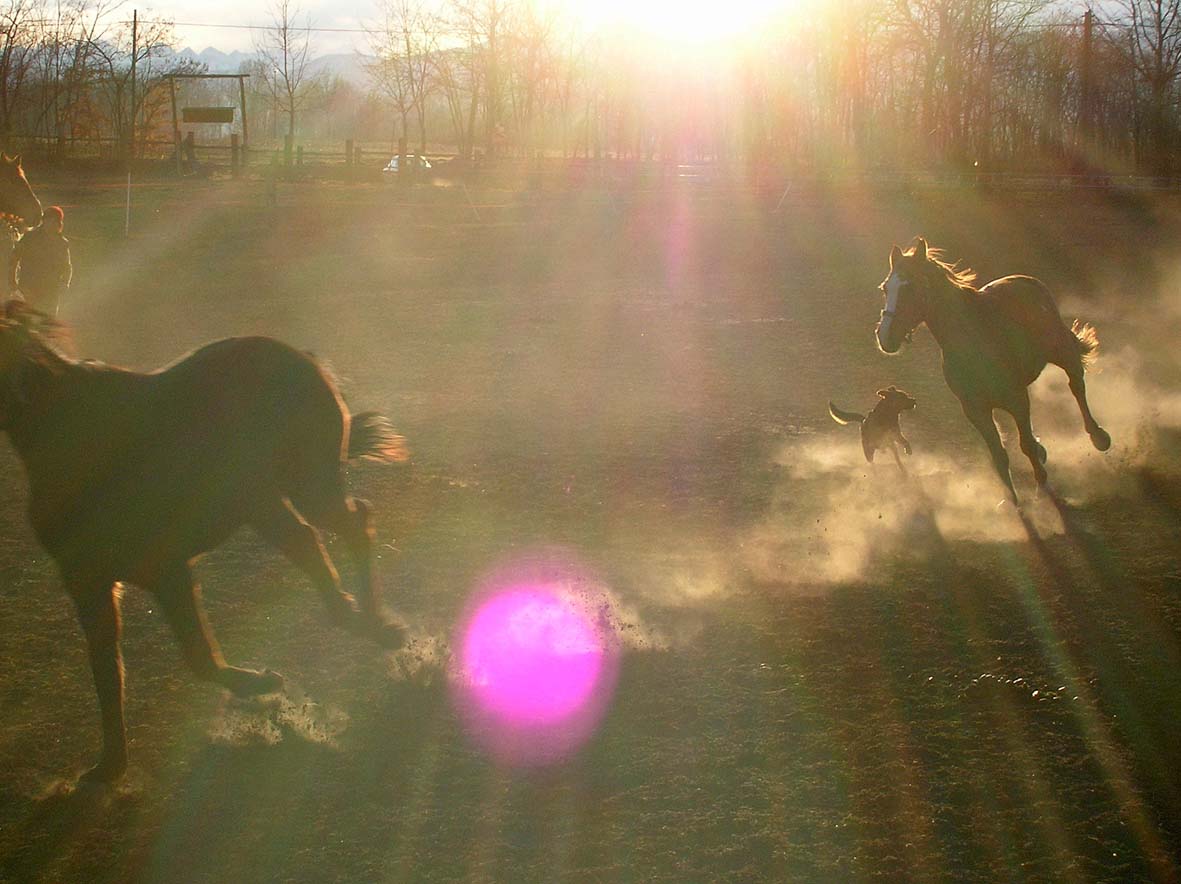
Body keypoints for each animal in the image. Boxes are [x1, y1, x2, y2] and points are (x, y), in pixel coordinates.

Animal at [0, 302, 408, 778]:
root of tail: (301, 358)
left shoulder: (167, 570)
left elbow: (197, 657)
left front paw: (261, 684)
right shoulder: (91, 585)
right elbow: (107, 674)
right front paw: (110, 766)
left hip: (301, 486)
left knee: (347, 529)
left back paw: (375, 625)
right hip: (264, 498)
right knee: (315, 539)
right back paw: (359, 617)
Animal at [873, 238, 1110, 502]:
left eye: (910, 287)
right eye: (886, 289)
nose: (885, 338)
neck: (974, 340)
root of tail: (1027, 281)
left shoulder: (1017, 400)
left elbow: (1025, 444)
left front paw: (1042, 485)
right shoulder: (975, 409)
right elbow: (998, 453)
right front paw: (1011, 501)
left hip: (1062, 352)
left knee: (1076, 385)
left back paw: (1099, 436)